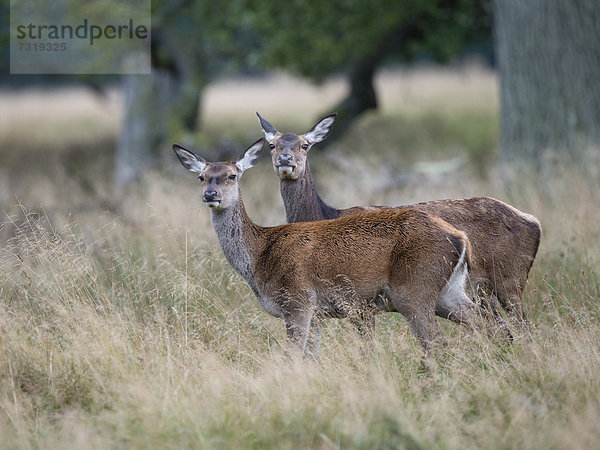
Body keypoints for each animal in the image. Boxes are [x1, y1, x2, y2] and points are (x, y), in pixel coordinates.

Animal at [171, 139, 486, 356]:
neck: (259, 256)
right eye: (201, 177)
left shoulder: (297, 299)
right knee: (486, 323)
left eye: (232, 175)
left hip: (414, 288)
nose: (210, 194)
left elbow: (292, 358)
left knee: (437, 342)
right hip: (449, 291)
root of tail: (461, 238)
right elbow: (311, 358)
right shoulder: (317, 313)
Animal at [255, 110, 540, 326]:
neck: (324, 215)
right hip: (481, 290)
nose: (285, 159)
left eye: (305, 145)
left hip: (510, 280)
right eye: (272, 145)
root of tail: (534, 221)